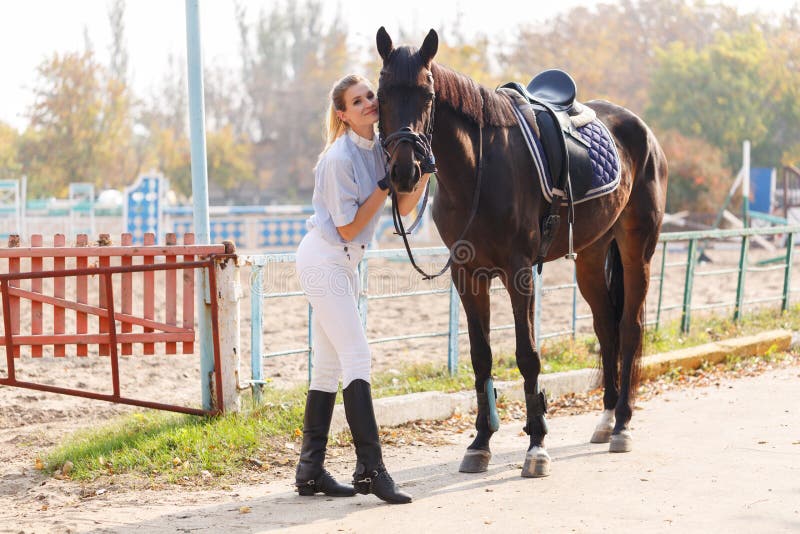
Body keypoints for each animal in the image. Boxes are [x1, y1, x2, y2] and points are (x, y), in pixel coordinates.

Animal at [378, 28, 664, 482]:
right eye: (381, 94)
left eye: (427, 94)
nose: (404, 171)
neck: (478, 168)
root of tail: (641, 129)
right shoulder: (468, 274)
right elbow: (481, 358)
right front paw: (480, 443)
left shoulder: (520, 272)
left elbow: (528, 356)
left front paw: (537, 445)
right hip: (591, 255)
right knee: (606, 327)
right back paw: (604, 420)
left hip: (638, 251)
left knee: (631, 328)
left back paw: (621, 423)